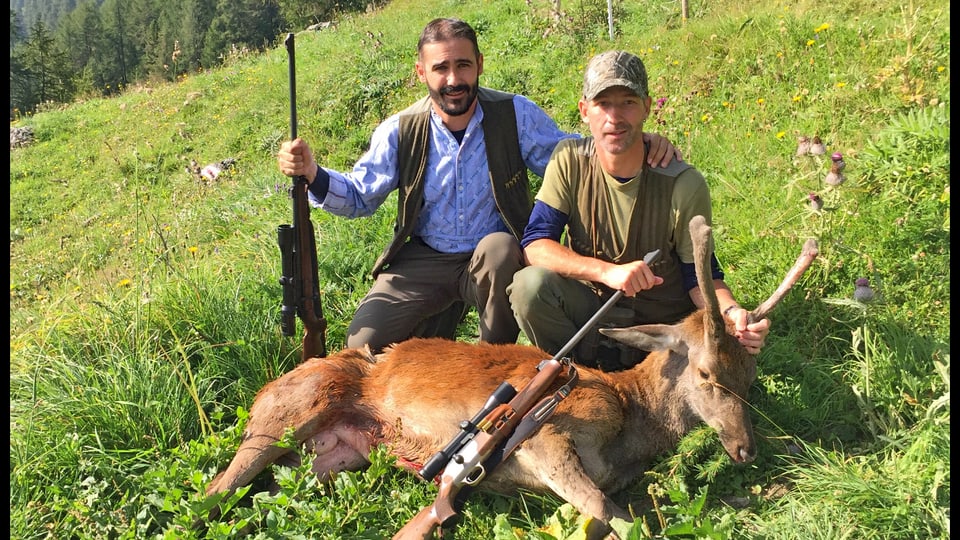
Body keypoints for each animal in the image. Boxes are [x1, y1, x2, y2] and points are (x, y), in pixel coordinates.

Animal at [202, 215, 816, 536]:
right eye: (708, 373)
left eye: (750, 375)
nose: (745, 449)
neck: (633, 422)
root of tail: (263, 390)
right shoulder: (548, 437)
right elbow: (616, 517)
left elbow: (614, 514)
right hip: (287, 412)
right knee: (217, 487)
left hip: (330, 459)